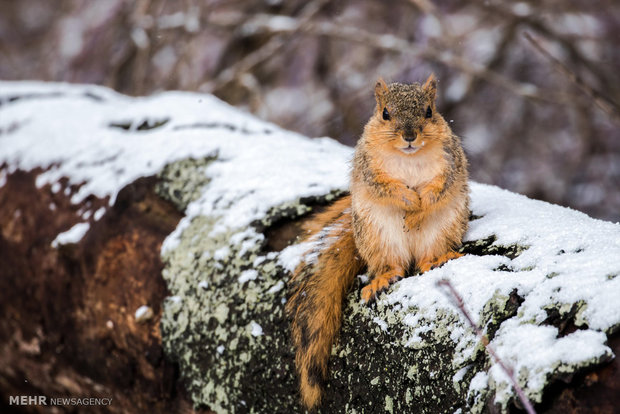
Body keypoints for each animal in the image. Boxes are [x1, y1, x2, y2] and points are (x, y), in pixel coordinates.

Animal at [286, 75, 470, 410]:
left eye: (429, 112)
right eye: (385, 114)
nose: (409, 136)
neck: (409, 157)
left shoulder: (450, 161)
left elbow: (440, 186)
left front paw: (421, 206)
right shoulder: (369, 166)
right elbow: (385, 187)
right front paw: (409, 201)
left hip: (444, 227)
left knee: (426, 258)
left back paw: (436, 259)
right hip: (378, 236)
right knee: (394, 265)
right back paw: (383, 278)